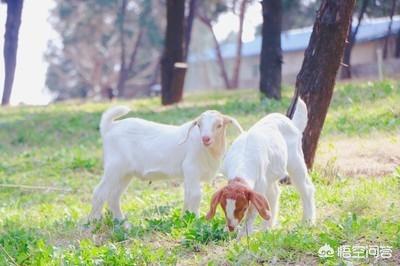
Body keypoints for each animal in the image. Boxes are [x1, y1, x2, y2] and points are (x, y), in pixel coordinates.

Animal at [89, 105, 242, 220]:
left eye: (219, 125)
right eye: (199, 125)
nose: (206, 138)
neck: (208, 150)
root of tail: (109, 127)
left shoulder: (188, 175)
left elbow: (187, 195)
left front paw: (185, 217)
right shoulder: (191, 168)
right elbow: (195, 195)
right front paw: (196, 220)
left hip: (125, 173)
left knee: (114, 195)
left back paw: (121, 222)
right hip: (114, 167)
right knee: (99, 192)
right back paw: (93, 221)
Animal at [206, 98, 316, 236]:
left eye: (243, 208)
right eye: (222, 206)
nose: (231, 227)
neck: (243, 161)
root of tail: (293, 123)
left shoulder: (259, 185)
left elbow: (253, 212)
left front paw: (243, 236)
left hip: (295, 160)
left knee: (306, 188)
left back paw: (308, 222)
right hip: (271, 173)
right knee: (274, 193)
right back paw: (266, 229)